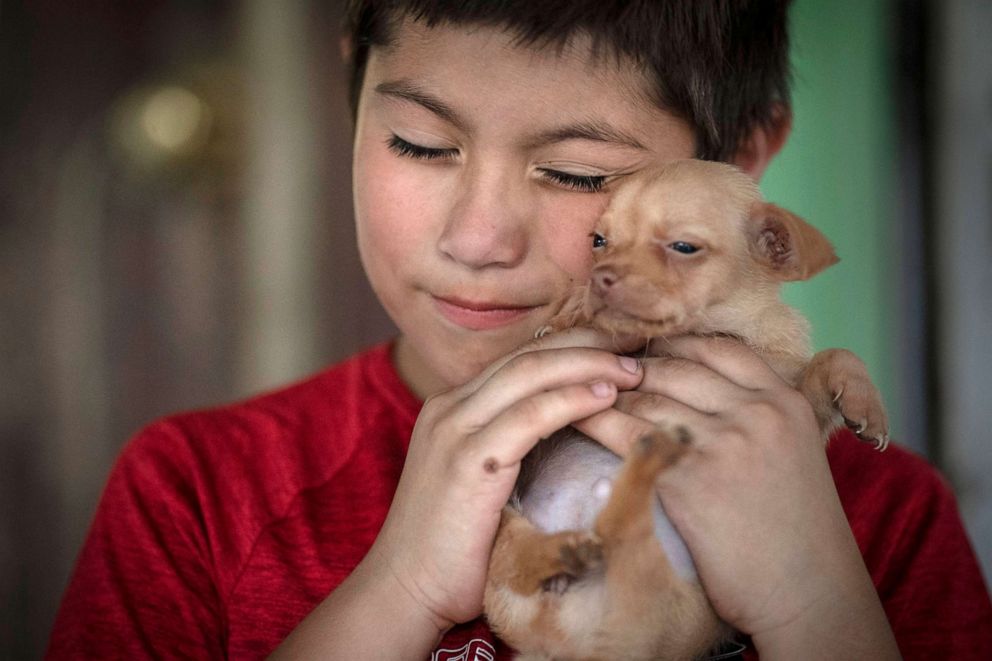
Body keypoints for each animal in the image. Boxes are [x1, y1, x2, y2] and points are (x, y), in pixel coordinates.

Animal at [484, 160, 888, 660]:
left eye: (683, 248)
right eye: (598, 242)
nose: (598, 278)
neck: (715, 331)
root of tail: (554, 636)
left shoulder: (796, 402)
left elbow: (833, 357)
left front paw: (864, 403)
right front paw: (568, 313)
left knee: (614, 533)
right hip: (514, 533)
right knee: (559, 545)